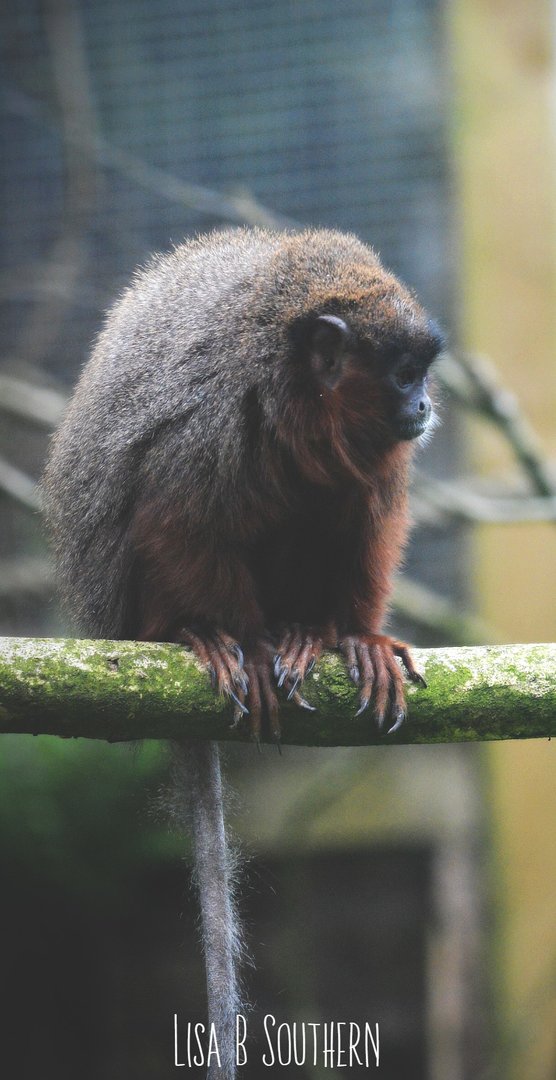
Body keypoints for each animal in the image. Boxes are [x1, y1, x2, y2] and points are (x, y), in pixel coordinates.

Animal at [42, 227, 443, 1079]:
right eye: (403, 376)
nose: (426, 406)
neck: (286, 384)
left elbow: (366, 517)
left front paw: (357, 637)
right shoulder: (209, 418)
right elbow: (176, 515)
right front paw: (244, 644)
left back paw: (308, 632)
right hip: (122, 606)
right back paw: (200, 634)